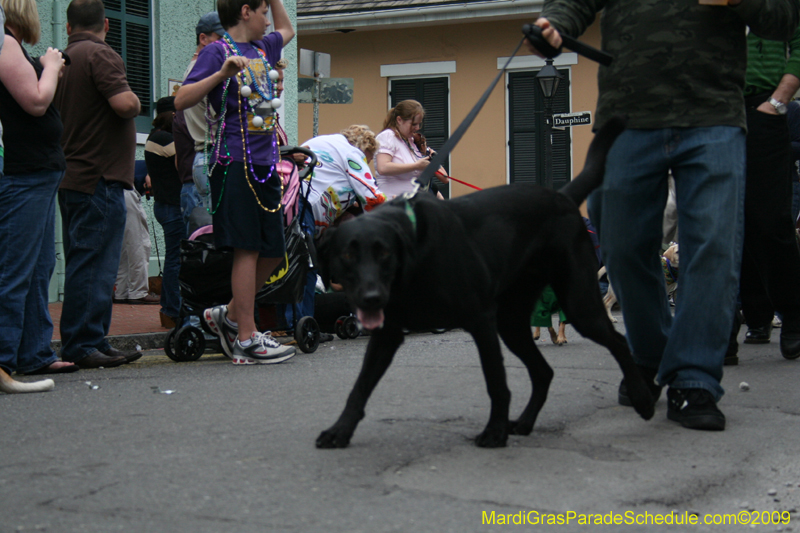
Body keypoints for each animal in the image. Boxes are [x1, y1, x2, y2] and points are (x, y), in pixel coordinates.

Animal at [316, 117, 652, 448]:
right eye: (347, 255)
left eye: (384, 252)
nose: (371, 298)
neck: (415, 261)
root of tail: (562, 196)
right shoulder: (387, 333)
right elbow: (360, 387)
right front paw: (339, 431)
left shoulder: (481, 321)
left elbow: (496, 382)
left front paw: (494, 431)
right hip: (512, 321)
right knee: (544, 371)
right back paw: (526, 422)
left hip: (577, 303)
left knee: (618, 342)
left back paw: (641, 397)